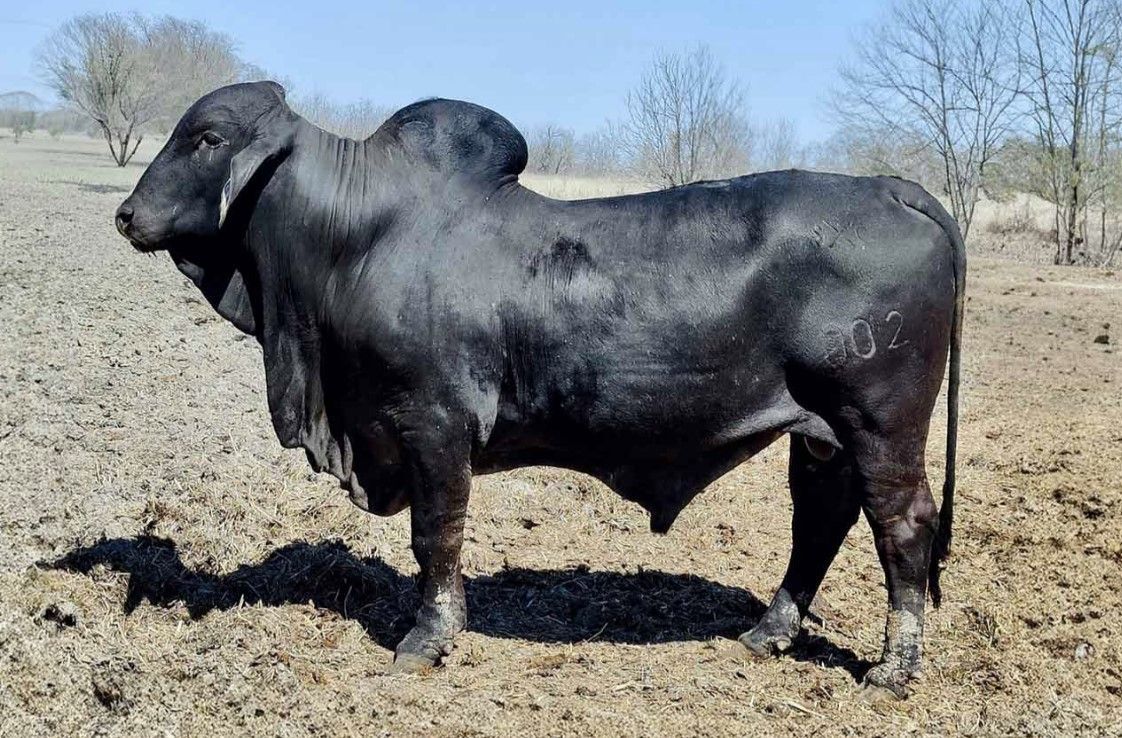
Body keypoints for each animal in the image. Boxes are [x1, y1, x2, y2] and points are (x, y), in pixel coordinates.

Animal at [115, 81, 964, 697]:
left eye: (209, 138)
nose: (126, 214)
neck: (353, 240)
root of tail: (892, 188)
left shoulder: (432, 424)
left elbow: (436, 537)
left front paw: (427, 639)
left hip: (880, 423)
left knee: (902, 528)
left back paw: (893, 669)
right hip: (820, 434)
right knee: (820, 521)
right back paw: (768, 633)